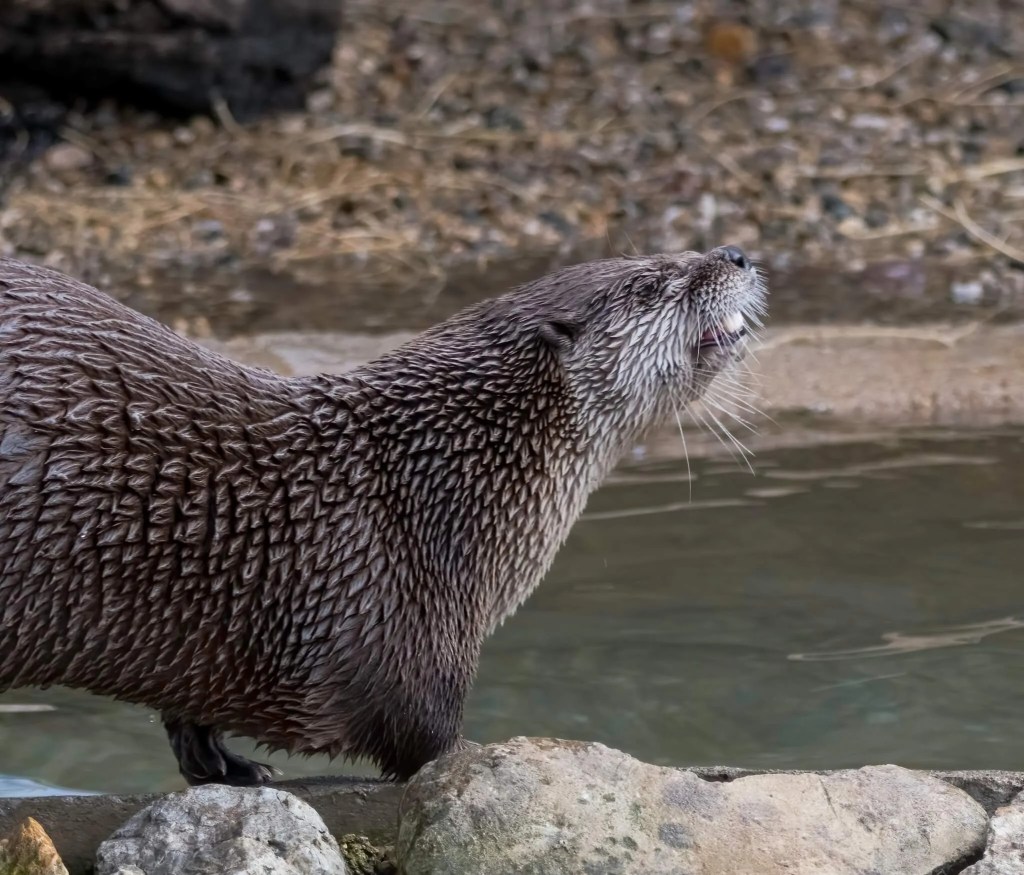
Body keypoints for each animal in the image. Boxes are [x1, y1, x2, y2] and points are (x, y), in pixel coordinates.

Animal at [0, 247, 765, 785]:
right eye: (652, 282)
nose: (734, 254)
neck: (439, 488)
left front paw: (232, 766)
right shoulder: (409, 626)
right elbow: (431, 748)